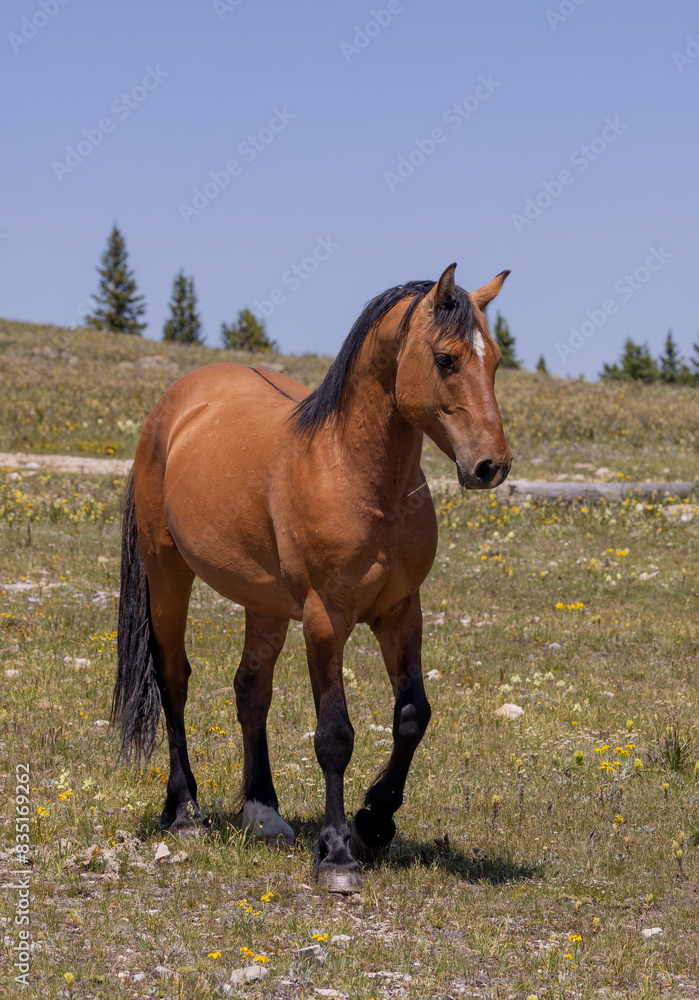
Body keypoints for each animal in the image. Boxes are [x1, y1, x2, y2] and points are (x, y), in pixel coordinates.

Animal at [112, 262, 512, 892]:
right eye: (446, 359)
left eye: (494, 359)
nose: (491, 466)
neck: (355, 473)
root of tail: (174, 407)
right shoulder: (326, 619)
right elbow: (334, 735)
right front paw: (337, 854)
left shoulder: (401, 611)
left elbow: (412, 715)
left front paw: (375, 820)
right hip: (167, 573)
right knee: (173, 680)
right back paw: (186, 812)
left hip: (265, 603)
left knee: (251, 690)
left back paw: (263, 812)